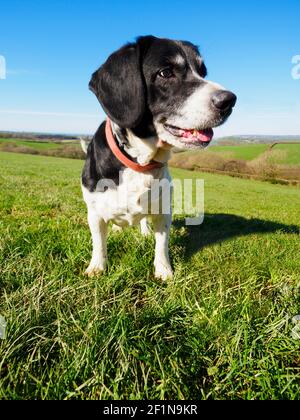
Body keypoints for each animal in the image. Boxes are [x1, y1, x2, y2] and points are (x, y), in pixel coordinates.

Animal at [82, 35, 237, 278]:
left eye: (202, 72)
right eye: (165, 73)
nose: (229, 100)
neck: (139, 161)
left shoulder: (163, 211)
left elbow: (161, 243)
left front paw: (164, 271)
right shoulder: (95, 212)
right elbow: (99, 242)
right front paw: (97, 267)